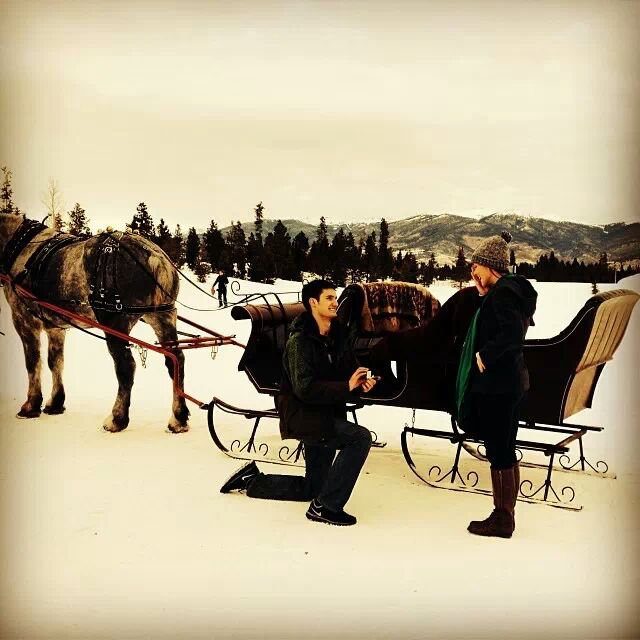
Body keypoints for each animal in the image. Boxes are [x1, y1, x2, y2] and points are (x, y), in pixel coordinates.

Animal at [0, 212, 189, 433]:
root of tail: (155, 255)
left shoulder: (24, 320)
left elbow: (32, 363)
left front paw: (31, 405)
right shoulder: (56, 327)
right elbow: (55, 362)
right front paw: (55, 403)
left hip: (115, 322)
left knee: (126, 366)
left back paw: (117, 418)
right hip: (162, 316)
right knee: (175, 360)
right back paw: (178, 418)